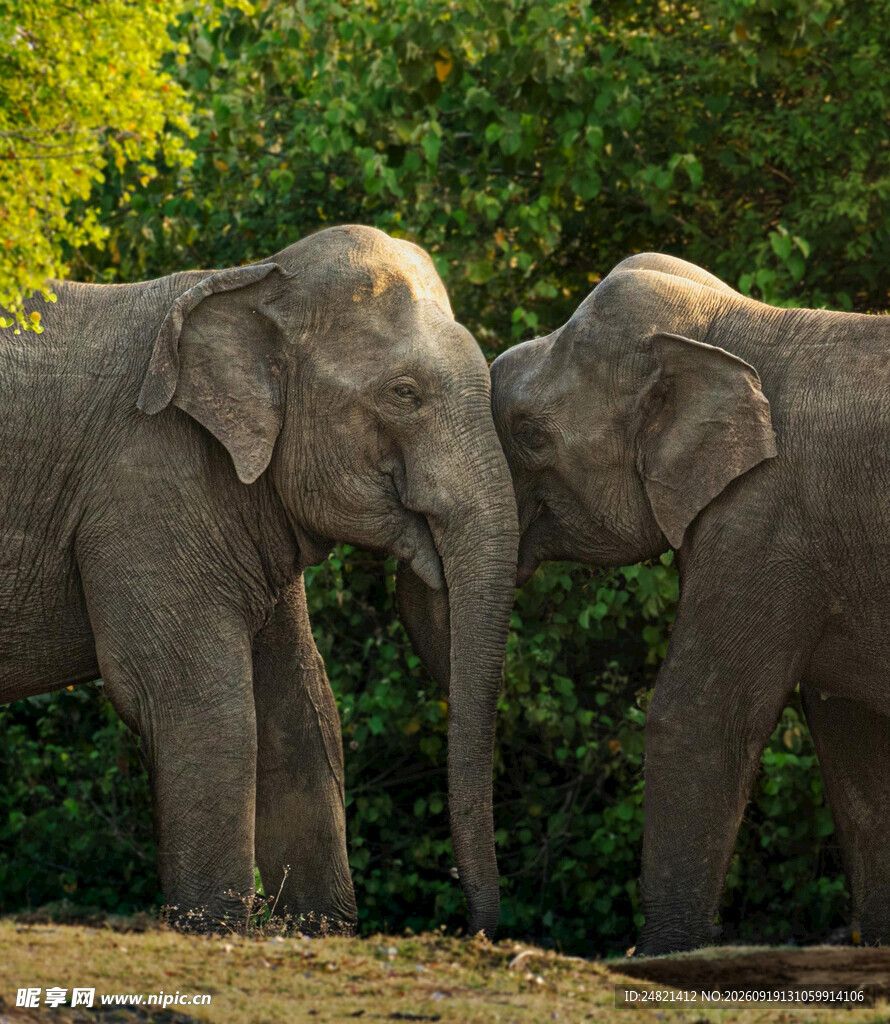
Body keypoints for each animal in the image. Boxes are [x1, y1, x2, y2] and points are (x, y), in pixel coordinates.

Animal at [0, 225, 518, 936]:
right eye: (404, 394)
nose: (477, 929)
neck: (251, 279)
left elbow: (302, 711)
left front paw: (321, 931)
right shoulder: (145, 488)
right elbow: (200, 705)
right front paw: (213, 928)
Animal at [488, 252, 890, 955]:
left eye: (530, 434)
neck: (733, 327)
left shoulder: (763, 521)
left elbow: (698, 714)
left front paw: (662, 955)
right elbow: (853, 740)